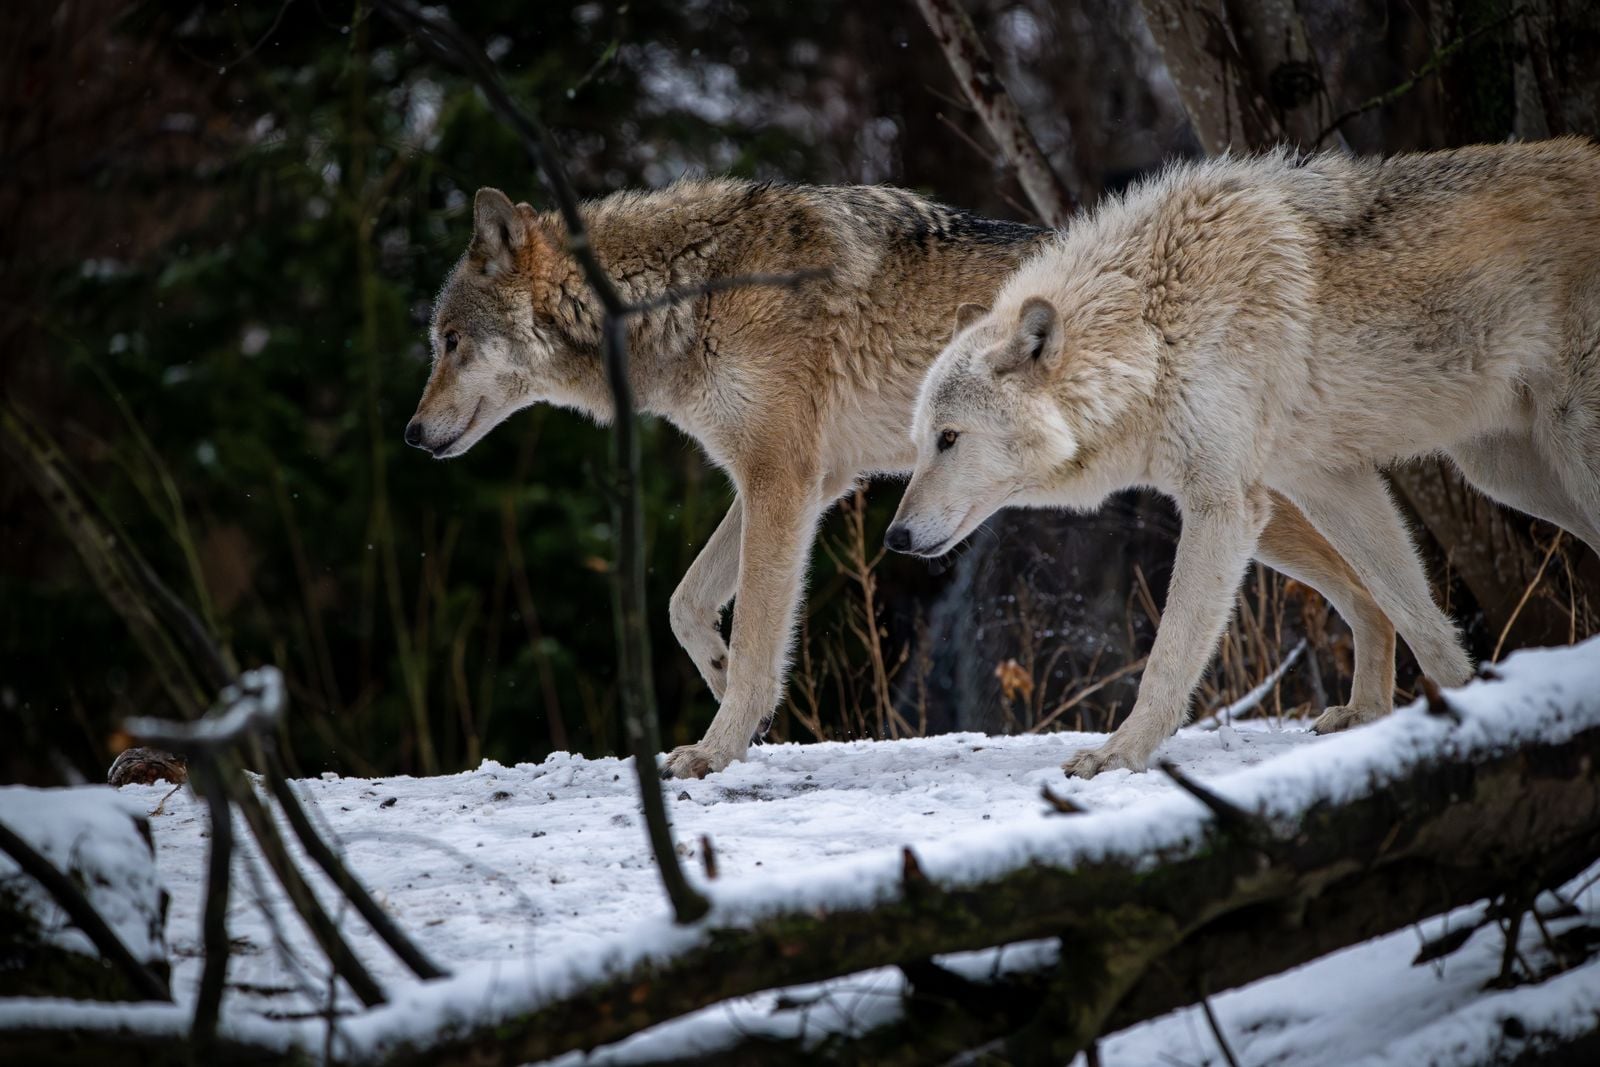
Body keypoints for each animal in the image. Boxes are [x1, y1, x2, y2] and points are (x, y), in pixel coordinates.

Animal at [407, 176, 1399, 778]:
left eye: (451, 342)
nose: (412, 436)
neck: (682, 294)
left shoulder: (780, 478)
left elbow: (762, 633)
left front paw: (719, 745)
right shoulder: (807, 483)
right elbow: (687, 603)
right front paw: (721, 677)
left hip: (1239, 504)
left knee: (1372, 592)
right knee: (1374, 591)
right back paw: (1370, 716)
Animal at [889, 138, 1600, 779]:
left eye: (949, 438)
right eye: (919, 441)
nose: (894, 537)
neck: (1153, 327)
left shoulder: (1224, 505)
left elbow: (1169, 654)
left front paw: (1120, 755)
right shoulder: (1323, 481)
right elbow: (1412, 612)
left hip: (1563, 456)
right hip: (1508, 475)